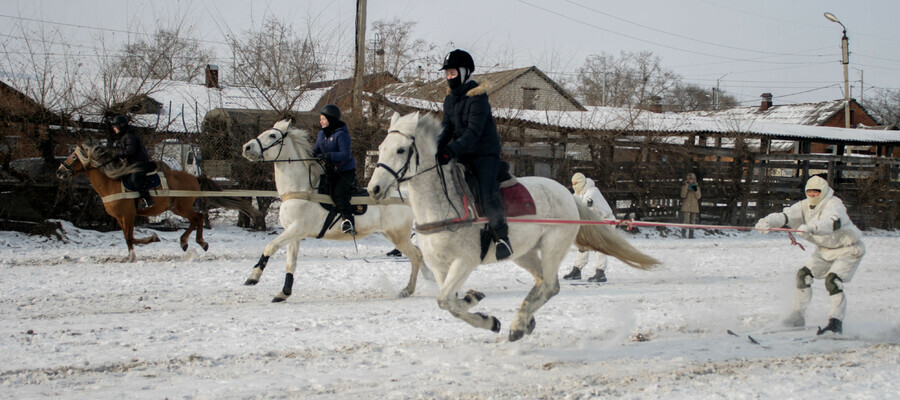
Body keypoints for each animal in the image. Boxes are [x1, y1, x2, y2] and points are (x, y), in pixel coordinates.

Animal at [57, 145, 208, 262]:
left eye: (74, 157)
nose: (59, 171)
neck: (111, 185)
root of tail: (195, 177)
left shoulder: (128, 215)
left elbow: (130, 238)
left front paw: (146, 244)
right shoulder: (120, 217)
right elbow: (128, 237)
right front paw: (134, 253)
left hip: (182, 207)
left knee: (198, 218)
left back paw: (194, 242)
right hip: (176, 208)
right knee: (197, 218)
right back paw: (191, 242)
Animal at [239, 120, 428, 302]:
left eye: (272, 135)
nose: (246, 147)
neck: (302, 189)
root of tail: (404, 195)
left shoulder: (297, 229)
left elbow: (270, 247)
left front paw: (253, 277)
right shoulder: (294, 234)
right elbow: (291, 263)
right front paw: (283, 292)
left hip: (398, 236)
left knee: (416, 256)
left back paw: (408, 289)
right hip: (391, 234)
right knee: (419, 254)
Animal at [368, 111, 660, 340]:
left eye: (401, 150)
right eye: (381, 147)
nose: (374, 189)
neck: (443, 204)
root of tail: (568, 195)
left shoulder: (464, 262)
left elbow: (445, 300)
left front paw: (481, 309)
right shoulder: (441, 267)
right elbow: (449, 303)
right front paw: (481, 310)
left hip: (552, 247)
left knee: (550, 286)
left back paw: (519, 324)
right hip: (524, 254)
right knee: (542, 283)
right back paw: (525, 319)